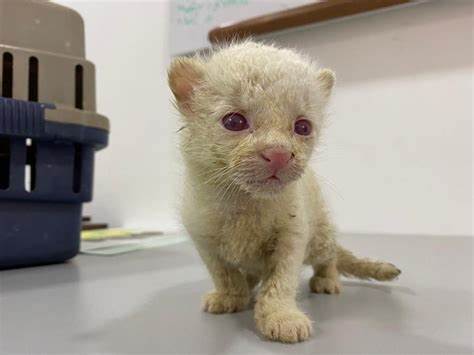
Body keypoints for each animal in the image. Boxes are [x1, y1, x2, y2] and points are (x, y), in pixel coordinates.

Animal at [168, 41, 402, 344]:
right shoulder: (202, 237)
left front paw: (282, 318)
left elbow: (280, 281)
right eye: (234, 121)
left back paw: (327, 281)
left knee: (330, 258)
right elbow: (223, 273)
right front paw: (230, 296)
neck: (244, 202)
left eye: (302, 127)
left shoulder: (293, 235)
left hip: (320, 236)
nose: (278, 153)